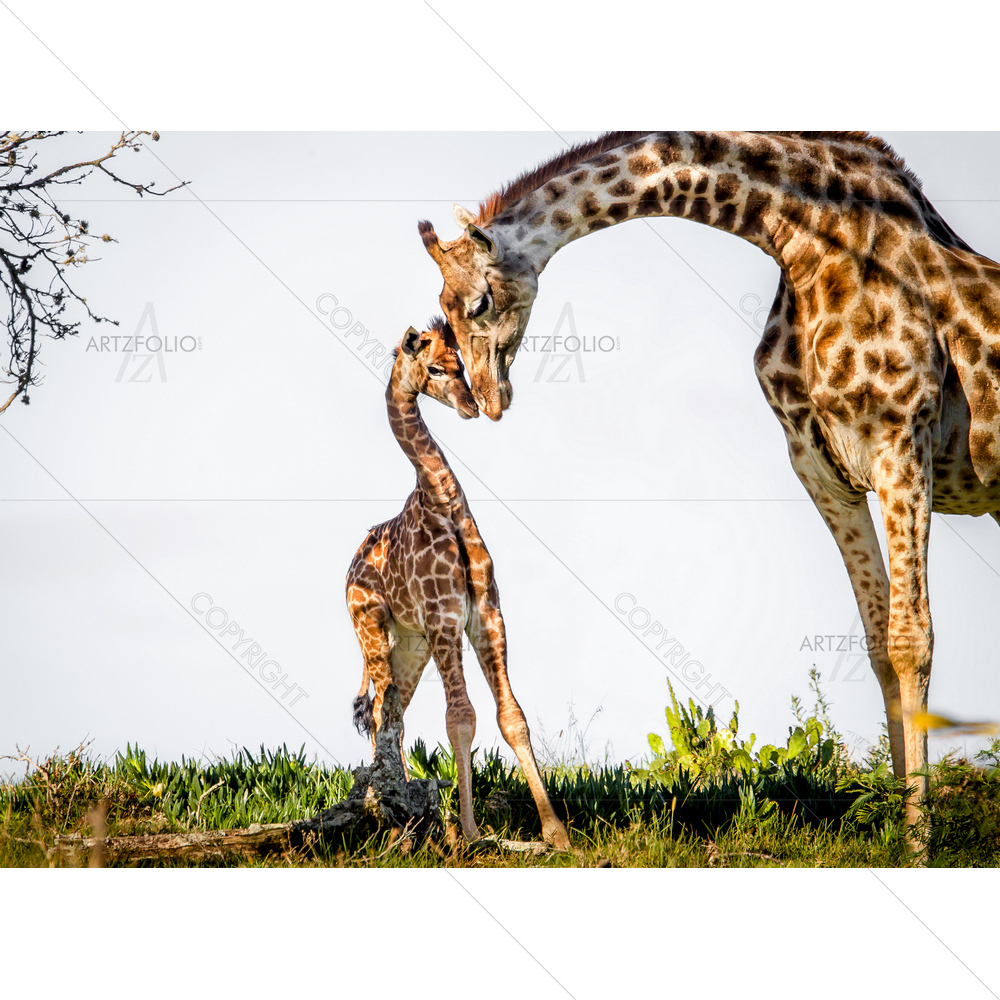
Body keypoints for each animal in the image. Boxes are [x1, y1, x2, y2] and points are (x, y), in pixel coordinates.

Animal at [345, 319, 570, 849]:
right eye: (433, 368)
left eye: (460, 364)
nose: (471, 406)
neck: (441, 501)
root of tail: (348, 572)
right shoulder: (445, 618)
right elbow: (461, 717)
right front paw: (468, 831)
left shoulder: (486, 615)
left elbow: (512, 716)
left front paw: (555, 833)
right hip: (373, 632)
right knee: (384, 718)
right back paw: (396, 817)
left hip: (410, 646)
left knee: (391, 716)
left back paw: (402, 812)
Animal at [417, 131, 1000, 833]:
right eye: (440, 311)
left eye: (477, 303)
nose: (486, 400)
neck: (806, 246)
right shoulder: (823, 470)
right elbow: (878, 644)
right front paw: (893, 818)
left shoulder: (900, 445)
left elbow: (913, 638)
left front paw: (917, 837)